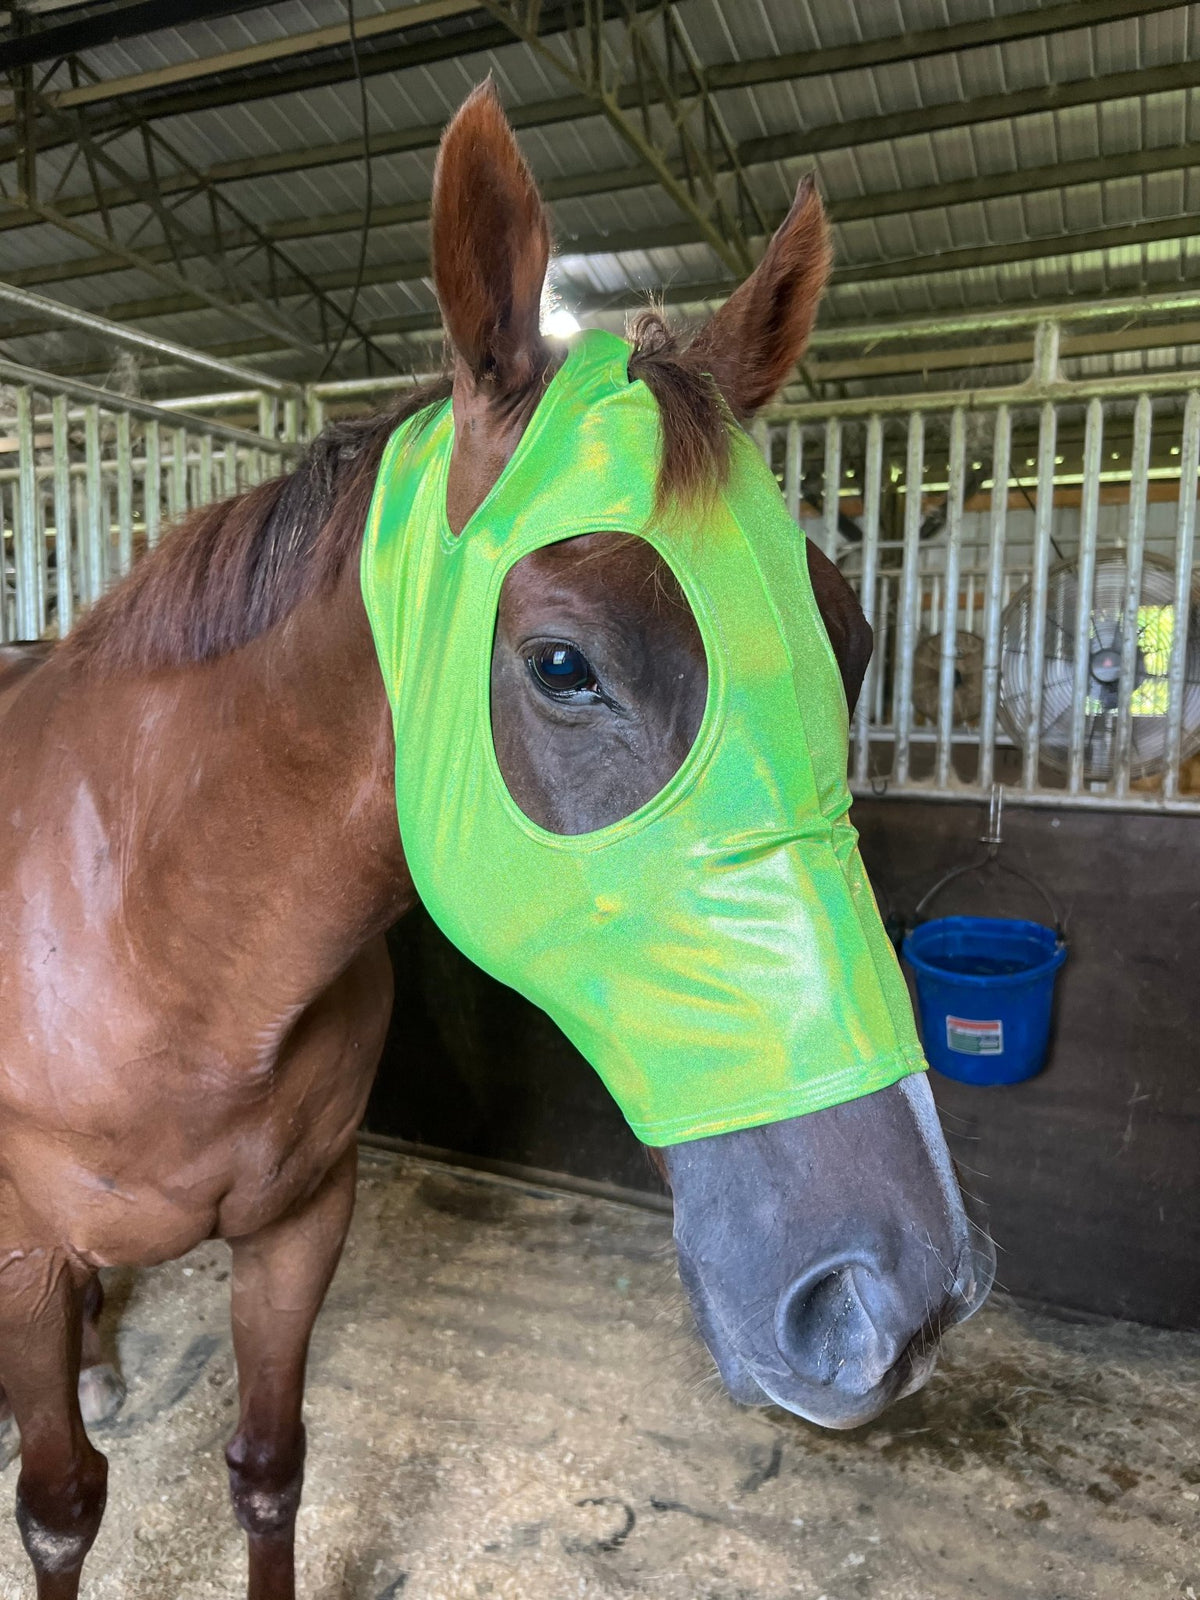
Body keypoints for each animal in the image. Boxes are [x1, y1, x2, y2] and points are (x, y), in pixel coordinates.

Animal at [0, 84, 993, 1600]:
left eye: (856, 639)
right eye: (563, 664)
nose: (904, 1295)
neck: (155, 936)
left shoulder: (300, 1226)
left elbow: (270, 1471)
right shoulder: (23, 1261)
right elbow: (60, 1506)